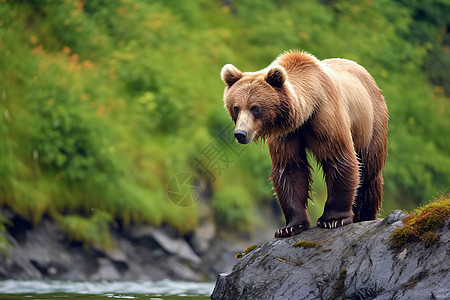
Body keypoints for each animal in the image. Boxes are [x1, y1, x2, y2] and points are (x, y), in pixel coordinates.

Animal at [221, 50, 386, 238]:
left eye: (255, 107)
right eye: (236, 107)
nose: (240, 134)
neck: (307, 111)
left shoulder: (326, 115)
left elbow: (338, 158)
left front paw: (333, 219)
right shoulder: (287, 134)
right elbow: (290, 169)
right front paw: (290, 227)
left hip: (372, 122)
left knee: (369, 169)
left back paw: (365, 214)